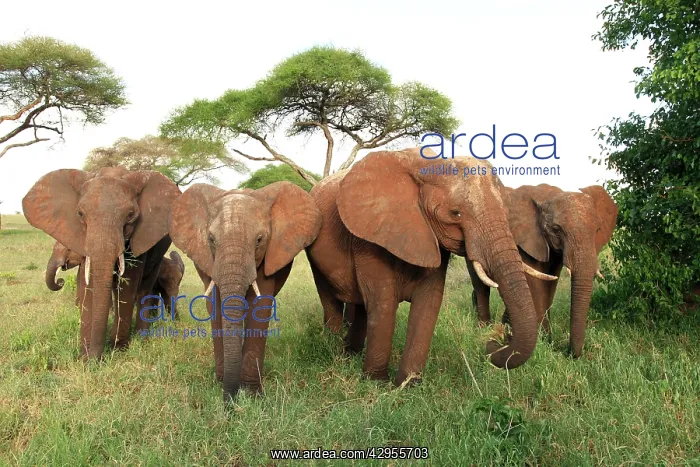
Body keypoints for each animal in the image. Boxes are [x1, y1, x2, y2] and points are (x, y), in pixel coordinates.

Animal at [23, 166, 181, 360]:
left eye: (131, 215)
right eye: (80, 214)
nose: (60, 281)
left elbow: (127, 285)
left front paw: (117, 350)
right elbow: (87, 285)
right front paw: (85, 357)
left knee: (144, 288)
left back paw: (141, 338)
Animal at [168, 181, 322, 401]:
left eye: (259, 240)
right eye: (211, 239)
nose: (228, 403)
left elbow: (260, 306)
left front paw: (251, 393)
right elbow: (215, 306)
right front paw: (222, 382)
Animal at [305, 148, 557, 386]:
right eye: (455, 213)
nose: (493, 341)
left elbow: (429, 301)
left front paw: (408, 385)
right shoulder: (367, 237)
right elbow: (383, 301)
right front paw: (376, 383)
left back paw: (351, 353)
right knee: (332, 300)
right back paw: (335, 349)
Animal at [472, 183, 617, 358]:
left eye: (598, 230)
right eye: (556, 229)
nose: (569, 353)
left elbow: (551, 279)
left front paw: (547, 339)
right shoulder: (526, 239)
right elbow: (536, 281)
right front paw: (544, 341)